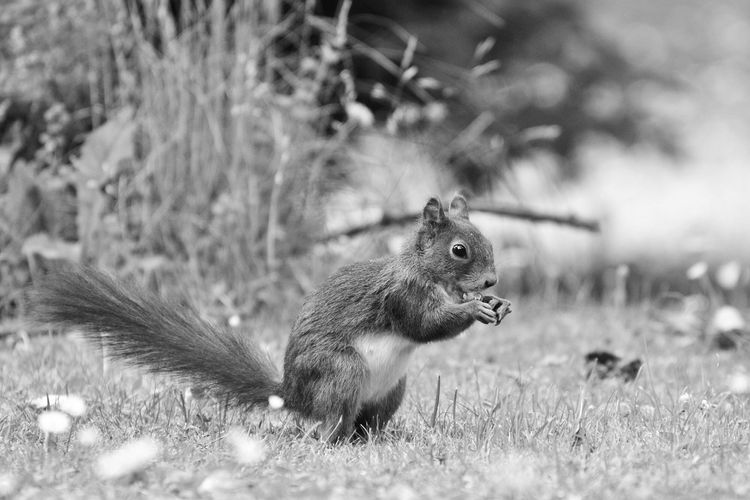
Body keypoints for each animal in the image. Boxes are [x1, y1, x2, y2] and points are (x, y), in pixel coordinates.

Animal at [28, 195, 511, 442]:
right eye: (459, 250)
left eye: (488, 241)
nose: (490, 280)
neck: (429, 275)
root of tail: (294, 395)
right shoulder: (402, 296)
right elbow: (424, 326)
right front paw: (473, 309)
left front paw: (498, 304)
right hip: (341, 371)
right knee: (331, 423)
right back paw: (334, 439)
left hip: (392, 389)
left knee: (365, 423)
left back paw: (379, 439)